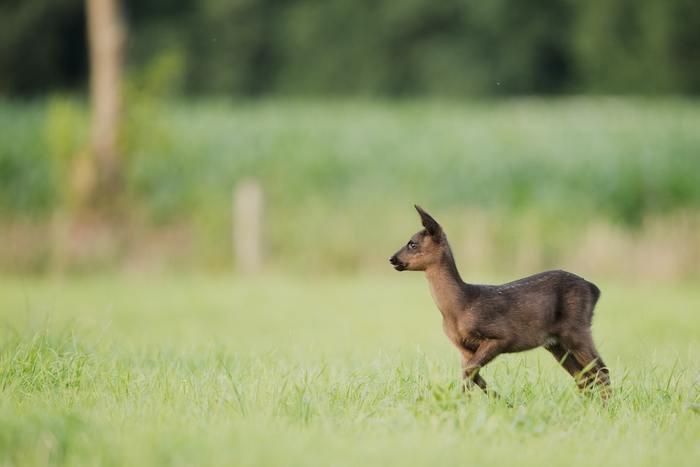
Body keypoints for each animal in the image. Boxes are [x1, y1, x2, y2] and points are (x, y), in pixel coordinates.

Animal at [392, 207, 608, 400]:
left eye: (412, 243)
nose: (392, 259)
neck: (459, 306)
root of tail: (594, 289)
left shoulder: (502, 336)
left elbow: (471, 372)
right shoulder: (463, 348)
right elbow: (472, 375)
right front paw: (494, 402)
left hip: (576, 329)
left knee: (601, 372)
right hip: (555, 343)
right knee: (583, 378)